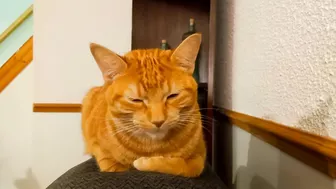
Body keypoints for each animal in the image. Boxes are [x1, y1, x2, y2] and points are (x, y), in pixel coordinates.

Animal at [82, 33, 205, 177]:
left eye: (172, 96)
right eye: (136, 100)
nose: (158, 121)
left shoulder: (199, 157)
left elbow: (183, 167)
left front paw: (147, 162)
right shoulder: (104, 155)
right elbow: (114, 166)